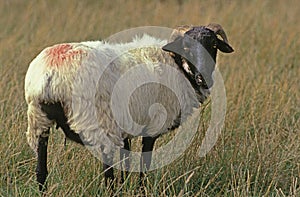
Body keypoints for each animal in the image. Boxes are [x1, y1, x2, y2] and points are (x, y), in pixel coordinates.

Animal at [24, 23, 233, 191]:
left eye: (213, 45)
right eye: (186, 47)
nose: (202, 79)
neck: (178, 66)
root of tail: (51, 75)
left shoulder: (127, 128)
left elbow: (126, 162)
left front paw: (124, 187)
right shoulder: (152, 126)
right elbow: (144, 164)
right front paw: (141, 190)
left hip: (38, 121)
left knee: (41, 170)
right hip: (99, 123)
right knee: (107, 172)